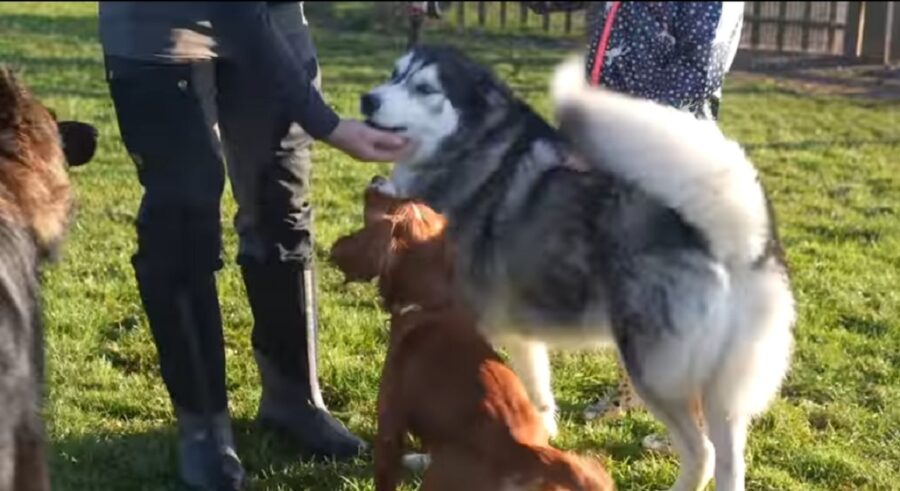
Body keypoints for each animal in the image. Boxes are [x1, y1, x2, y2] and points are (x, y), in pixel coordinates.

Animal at [330, 179, 620, 491]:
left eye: (387, 205)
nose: (374, 179)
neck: (434, 304)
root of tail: (524, 455)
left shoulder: (389, 424)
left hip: (439, 476)